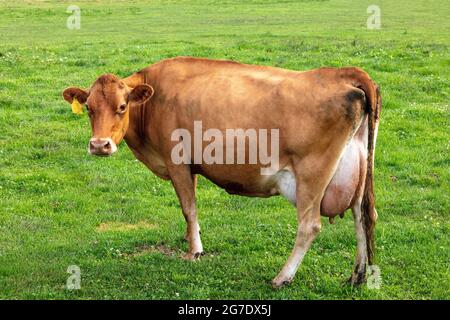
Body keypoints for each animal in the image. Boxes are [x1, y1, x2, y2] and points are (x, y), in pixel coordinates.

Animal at [62, 56, 380, 286]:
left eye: (122, 106)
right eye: (89, 107)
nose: (99, 145)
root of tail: (341, 72)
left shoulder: (178, 162)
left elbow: (188, 207)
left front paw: (194, 250)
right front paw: (190, 238)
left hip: (312, 174)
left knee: (310, 225)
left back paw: (282, 277)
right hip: (357, 172)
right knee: (363, 215)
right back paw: (357, 276)